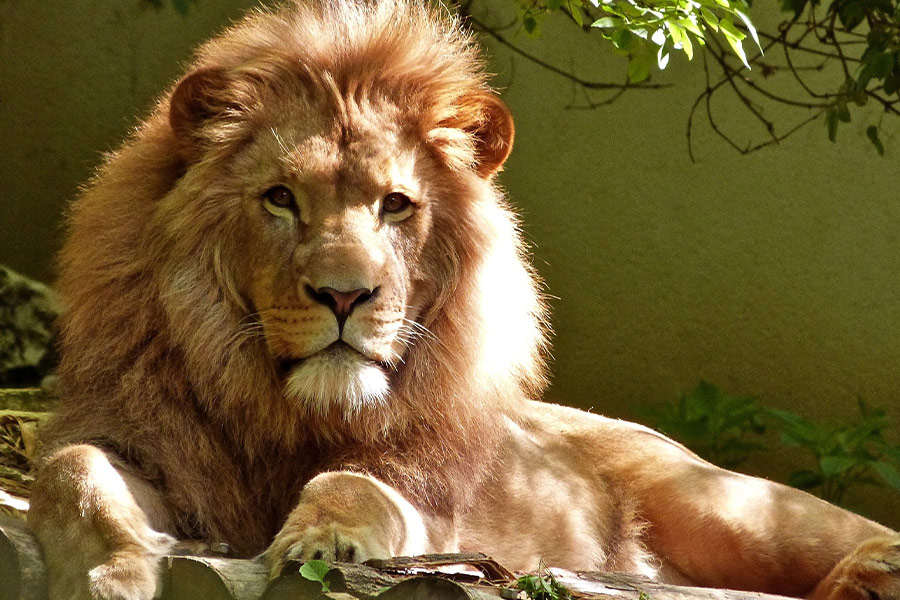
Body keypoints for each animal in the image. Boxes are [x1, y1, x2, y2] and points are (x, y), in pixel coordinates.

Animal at [26, 1, 900, 599]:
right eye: (280, 199)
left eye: (395, 205)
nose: (345, 295)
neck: (287, 413)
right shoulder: (146, 441)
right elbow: (73, 473)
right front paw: (110, 576)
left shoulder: (428, 503)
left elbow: (353, 486)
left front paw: (323, 545)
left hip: (727, 505)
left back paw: (871, 572)